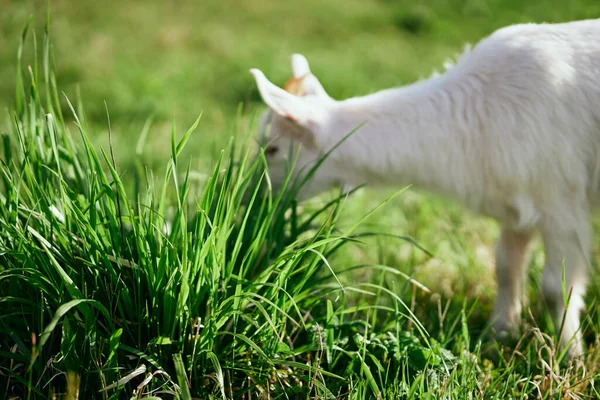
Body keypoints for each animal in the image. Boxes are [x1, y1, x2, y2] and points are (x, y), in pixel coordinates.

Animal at [248, 18, 600, 358]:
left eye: (272, 150)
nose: (251, 201)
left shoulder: (560, 202)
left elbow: (556, 287)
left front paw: (570, 355)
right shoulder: (516, 205)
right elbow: (505, 266)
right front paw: (497, 337)